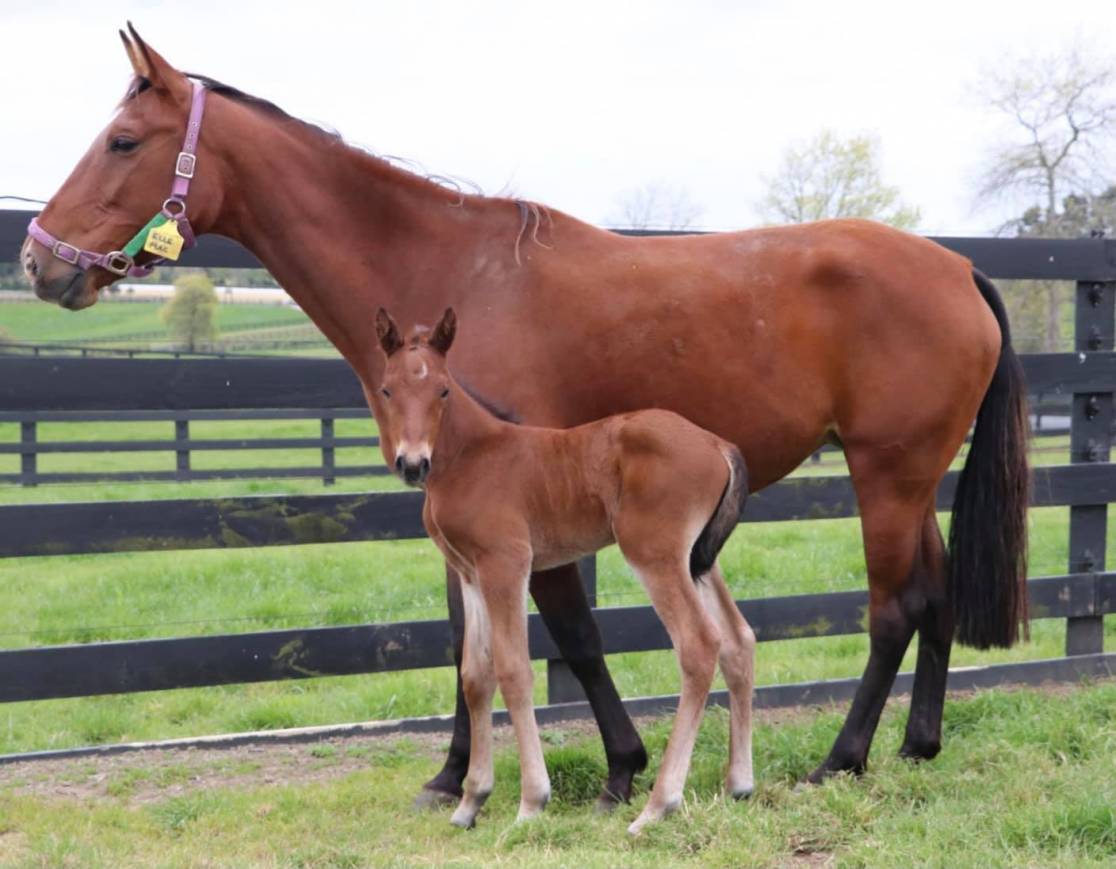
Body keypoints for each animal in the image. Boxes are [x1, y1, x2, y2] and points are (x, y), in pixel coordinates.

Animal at [379, 310, 754, 834]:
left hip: (655, 554)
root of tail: (716, 442)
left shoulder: (506, 564)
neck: (473, 456)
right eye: (387, 389)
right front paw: (470, 802)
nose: (413, 463)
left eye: (443, 390)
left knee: (699, 645)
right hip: (698, 559)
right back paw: (738, 783)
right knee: (738, 638)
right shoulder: (470, 572)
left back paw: (658, 806)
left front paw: (531, 802)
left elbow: (514, 669)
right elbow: (475, 675)